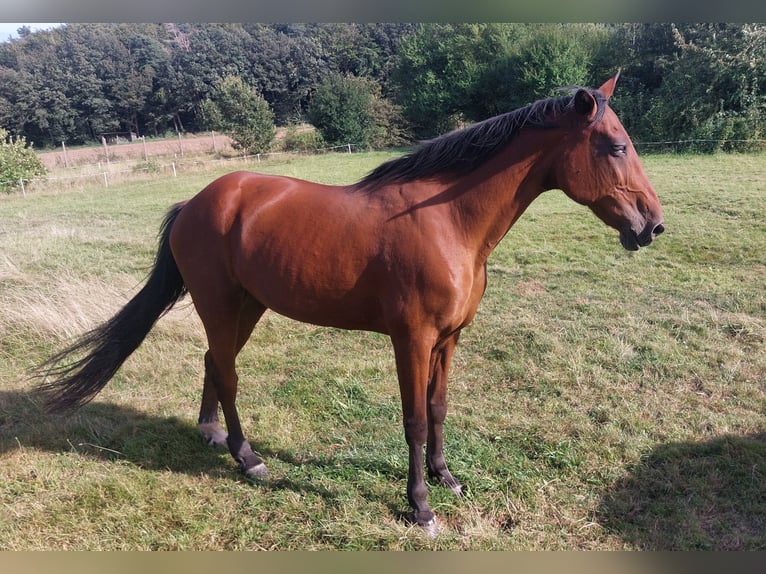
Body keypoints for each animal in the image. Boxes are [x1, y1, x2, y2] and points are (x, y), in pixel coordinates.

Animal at [33, 72, 664, 536]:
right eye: (614, 147)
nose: (652, 227)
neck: (447, 220)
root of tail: (197, 202)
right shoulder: (412, 339)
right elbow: (413, 420)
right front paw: (420, 506)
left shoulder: (450, 339)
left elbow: (438, 409)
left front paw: (447, 479)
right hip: (220, 304)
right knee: (229, 373)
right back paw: (247, 456)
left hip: (247, 307)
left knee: (214, 362)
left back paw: (213, 435)